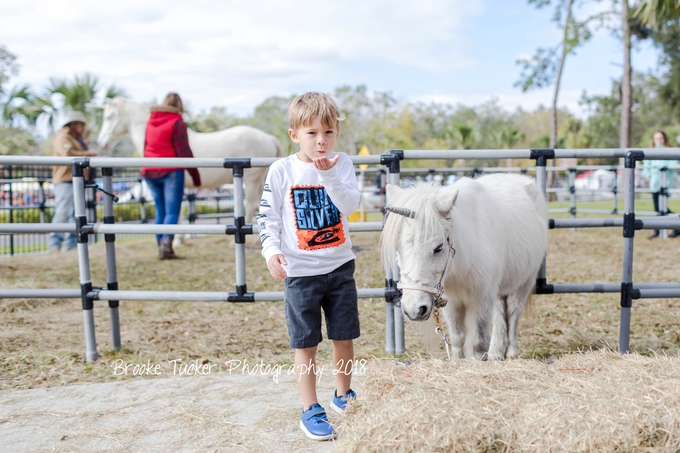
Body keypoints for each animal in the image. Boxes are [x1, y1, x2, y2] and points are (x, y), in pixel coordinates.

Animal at [93, 97, 282, 222]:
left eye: (109, 117)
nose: (101, 142)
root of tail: (269, 138)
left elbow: (175, 213)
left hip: (251, 180)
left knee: (251, 205)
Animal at [380, 174, 548, 360]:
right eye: (397, 248)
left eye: (439, 247)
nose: (413, 309)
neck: (462, 266)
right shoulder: (453, 303)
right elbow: (457, 338)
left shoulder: (482, 299)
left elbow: (477, 341)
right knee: (500, 314)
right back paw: (497, 352)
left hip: (523, 284)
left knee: (512, 314)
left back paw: (511, 351)